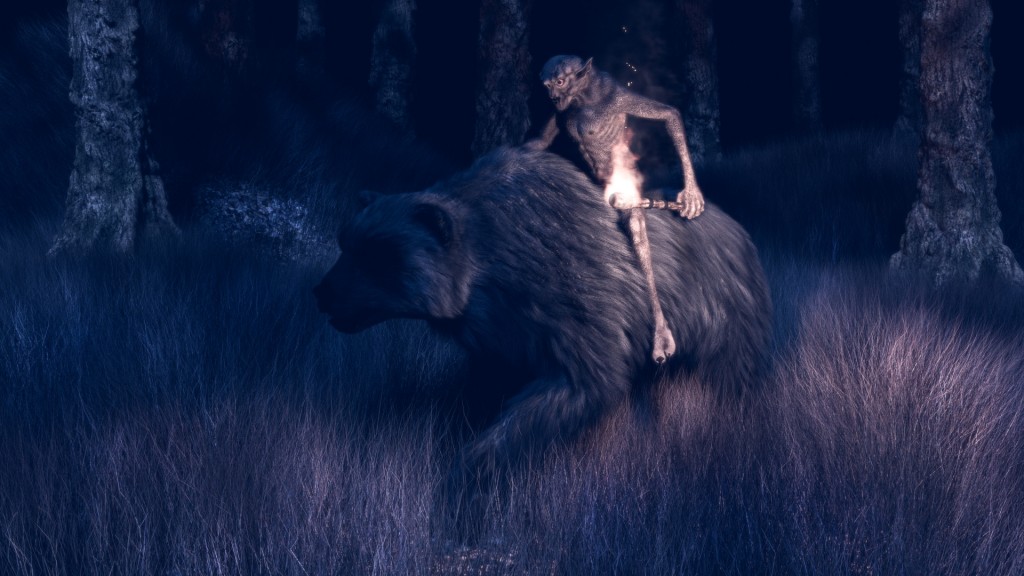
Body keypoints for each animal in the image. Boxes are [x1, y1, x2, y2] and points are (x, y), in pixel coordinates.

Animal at [314, 146, 772, 477]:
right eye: (345, 240)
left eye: (378, 254)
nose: (322, 293)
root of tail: (743, 233)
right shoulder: (500, 340)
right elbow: (484, 387)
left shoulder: (578, 307)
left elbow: (582, 384)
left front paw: (468, 474)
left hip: (722, 324)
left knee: (728, 380)